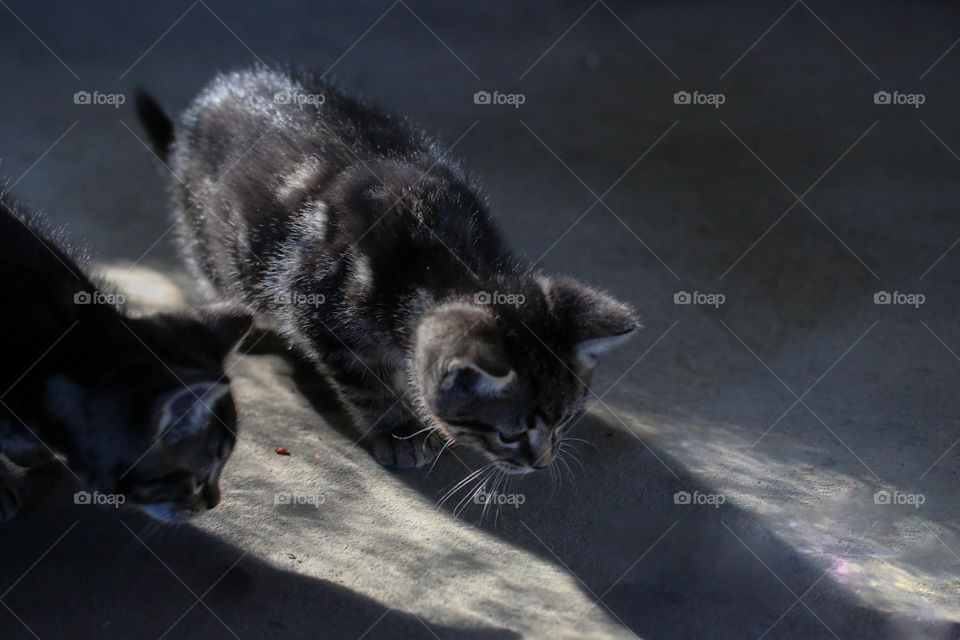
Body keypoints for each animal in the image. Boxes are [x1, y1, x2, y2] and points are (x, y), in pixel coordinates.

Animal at [137, 66, 636, 476]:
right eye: (509, 434)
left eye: (567, 418)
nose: (542, 462)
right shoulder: (319, 310)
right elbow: (367, 385)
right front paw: (397, 431)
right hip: (214, 243)